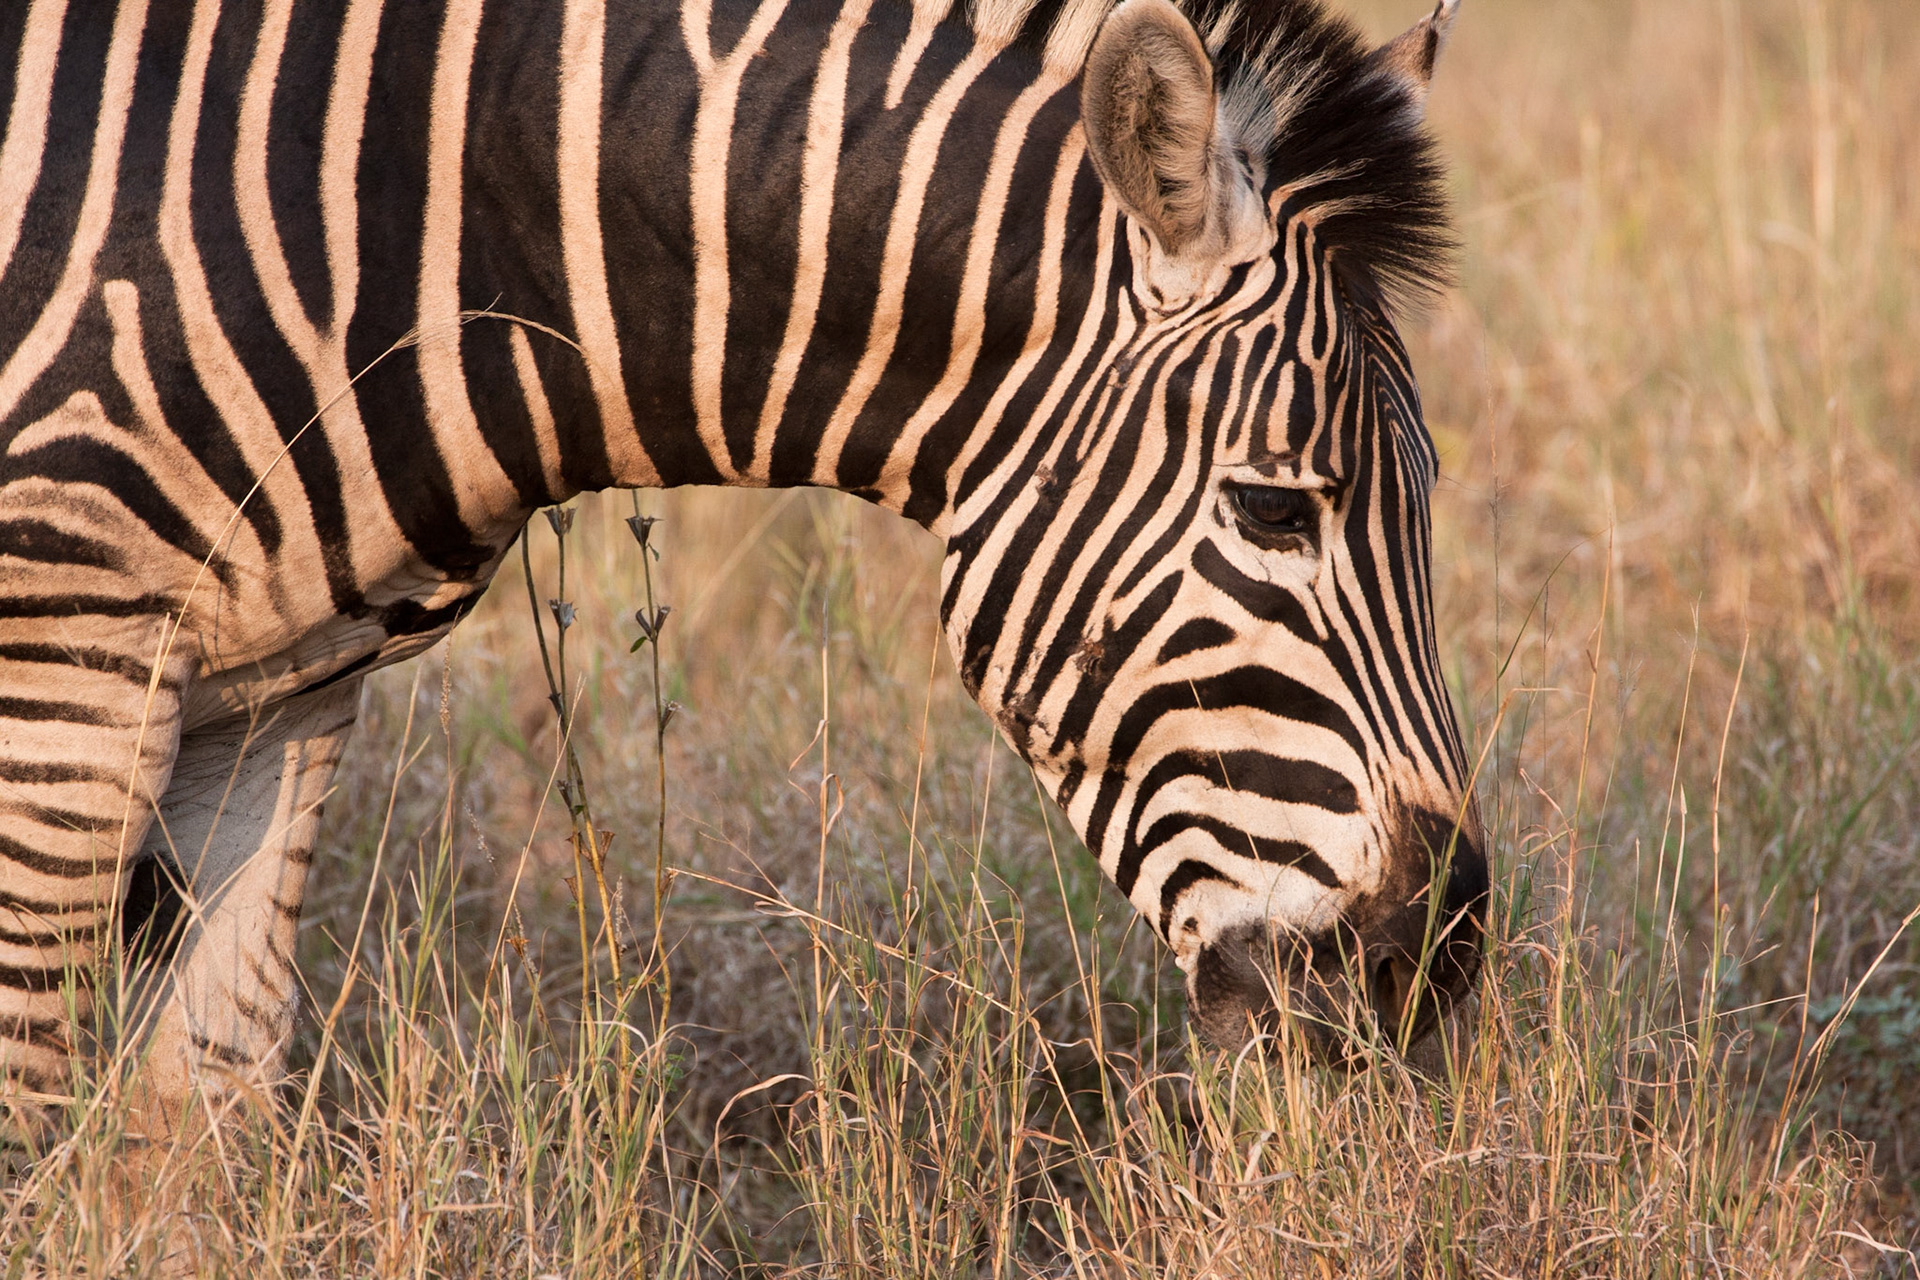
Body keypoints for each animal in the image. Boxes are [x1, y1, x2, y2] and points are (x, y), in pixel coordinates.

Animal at [0, 0, 1486, 1137]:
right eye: (1272, 510)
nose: (1430, 965)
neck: (411, 217)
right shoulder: (66, 661)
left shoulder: (286, 690)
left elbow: (200, 1115)